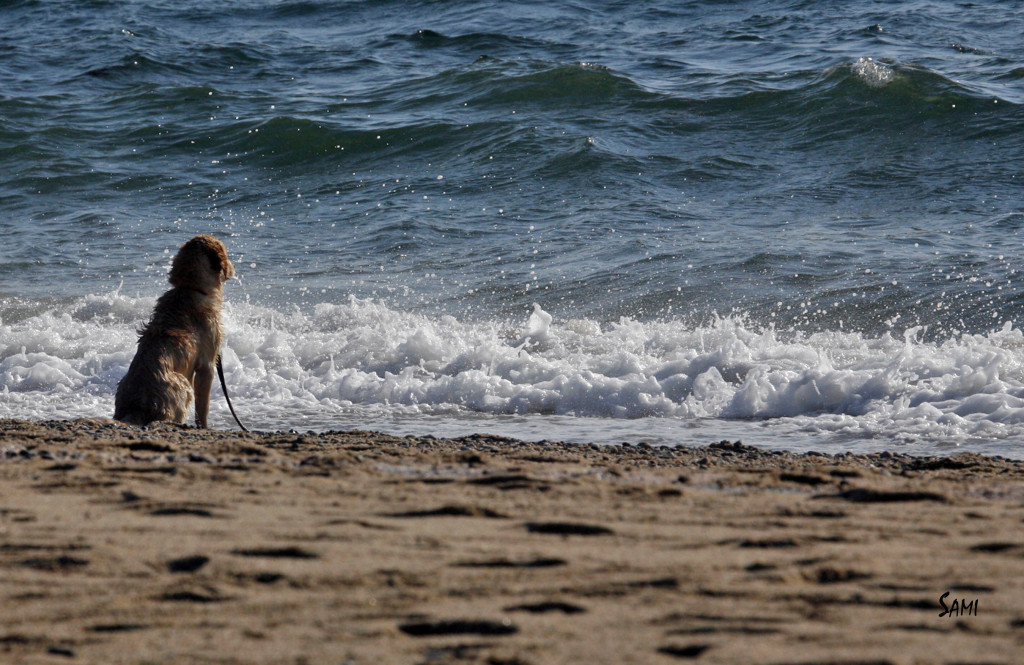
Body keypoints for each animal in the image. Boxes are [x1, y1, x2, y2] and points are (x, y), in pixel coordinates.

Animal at [115, 235, 236, 428]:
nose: (234, 266)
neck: (191, 288)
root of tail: (137, 408)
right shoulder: (207, 365)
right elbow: (202, 408)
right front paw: (204, 427)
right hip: (182, 384)